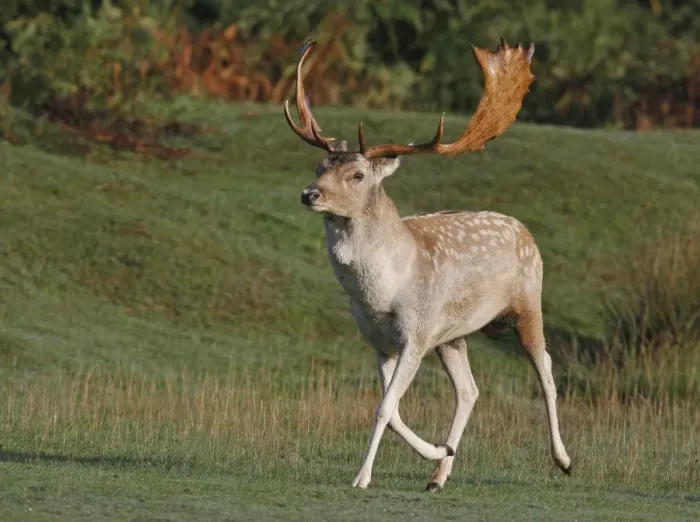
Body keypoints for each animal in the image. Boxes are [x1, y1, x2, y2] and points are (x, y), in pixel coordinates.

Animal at [283, 39, 572, 492]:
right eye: (320, 166)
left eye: (358, 175)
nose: (310, 194)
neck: (380, 294)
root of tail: (525, 229)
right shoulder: (381, 342)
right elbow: (392, 409)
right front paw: (439, 450)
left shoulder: (416, 334)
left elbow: (385, 408)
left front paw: (361, 477)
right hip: (453, 335)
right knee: (470, 390)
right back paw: (439, 474)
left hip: (528, 302)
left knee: (545, 368)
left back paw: (564, 460)